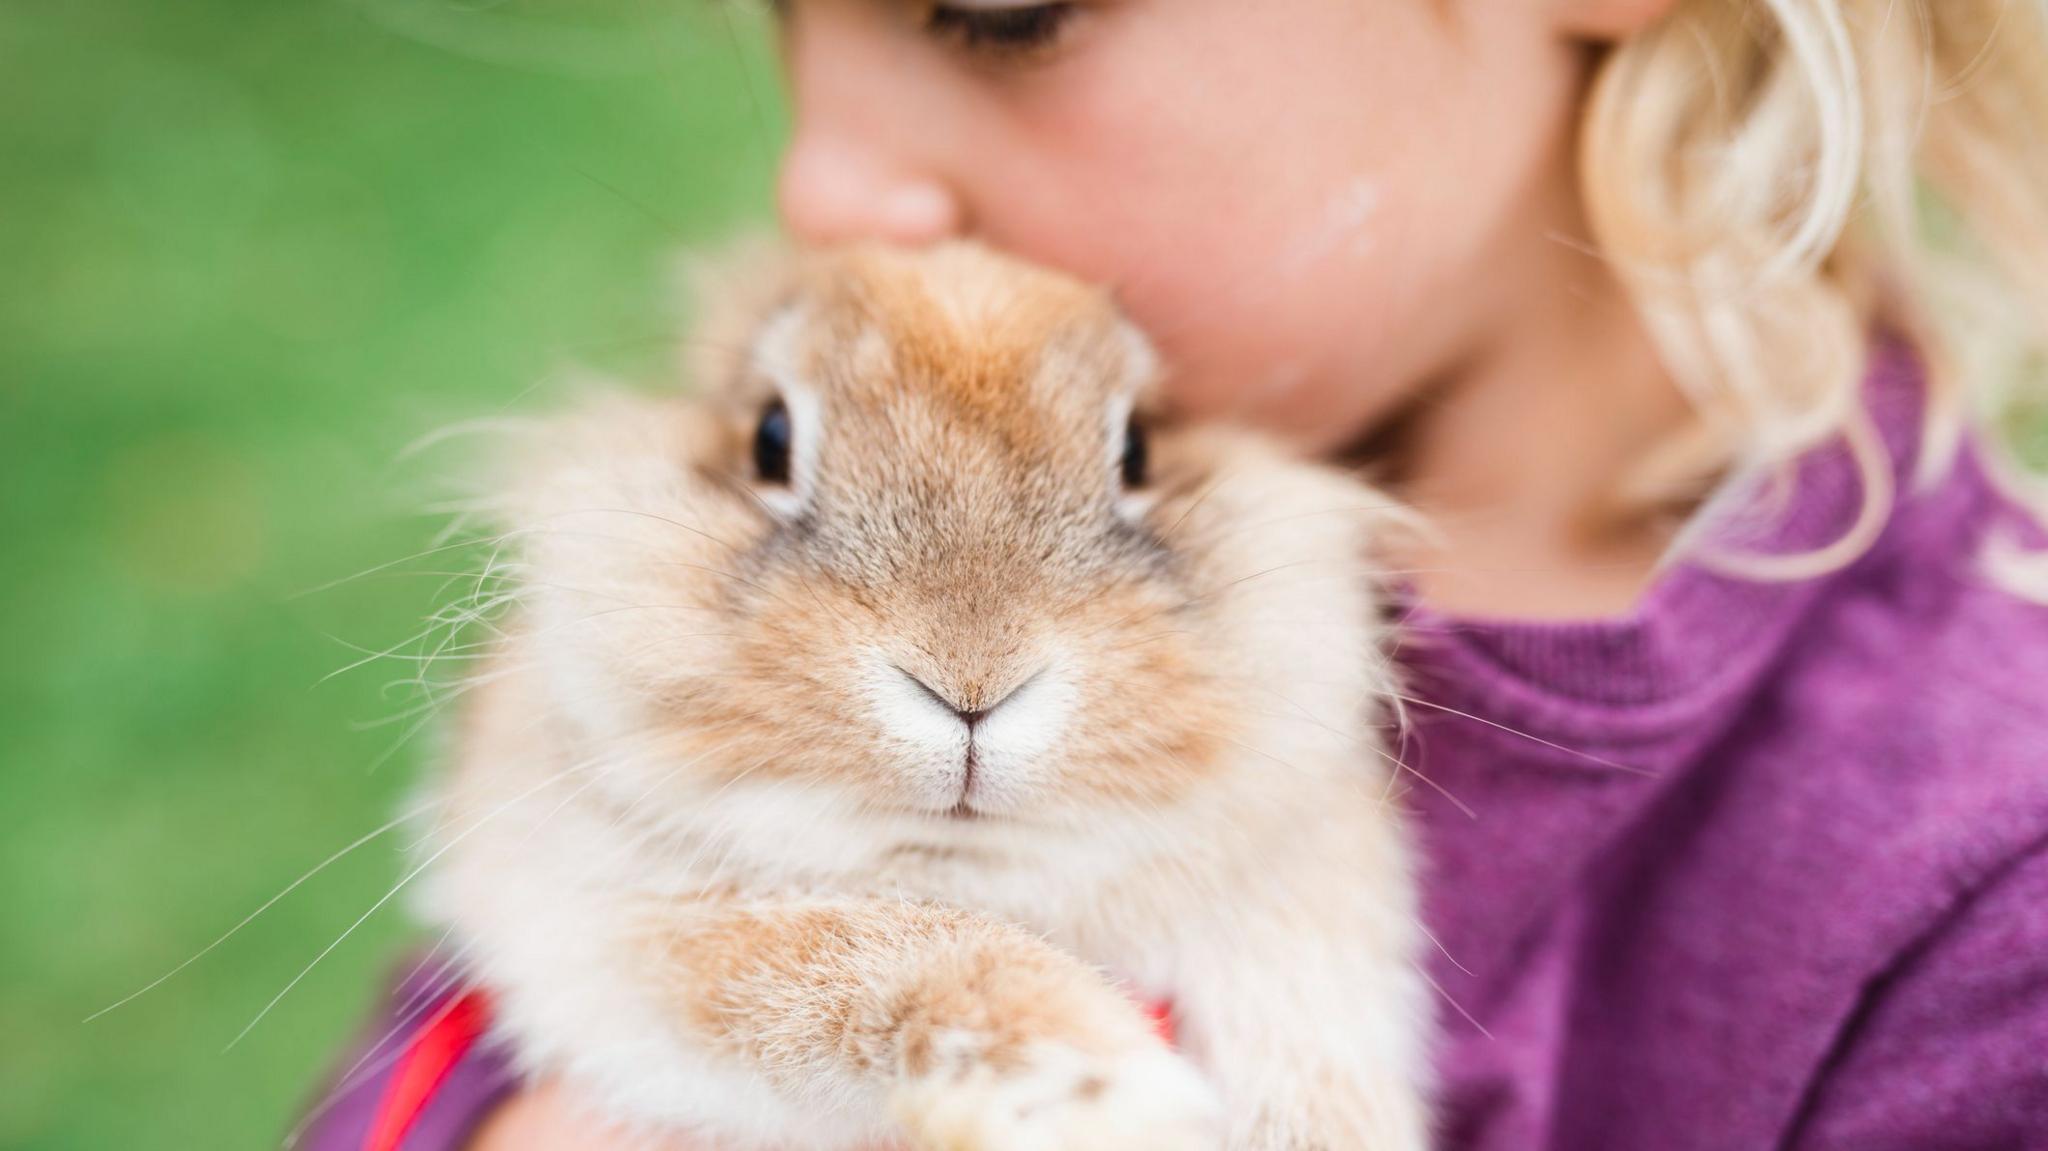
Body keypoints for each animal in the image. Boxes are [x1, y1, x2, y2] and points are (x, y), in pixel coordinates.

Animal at [411, 237, 1441, 1138]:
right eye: (770, 438)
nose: (972, 682)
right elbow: (869, 954)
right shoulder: (620, 935)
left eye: (1140, 448)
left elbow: (1307, 1025)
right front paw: (1099, 1097)